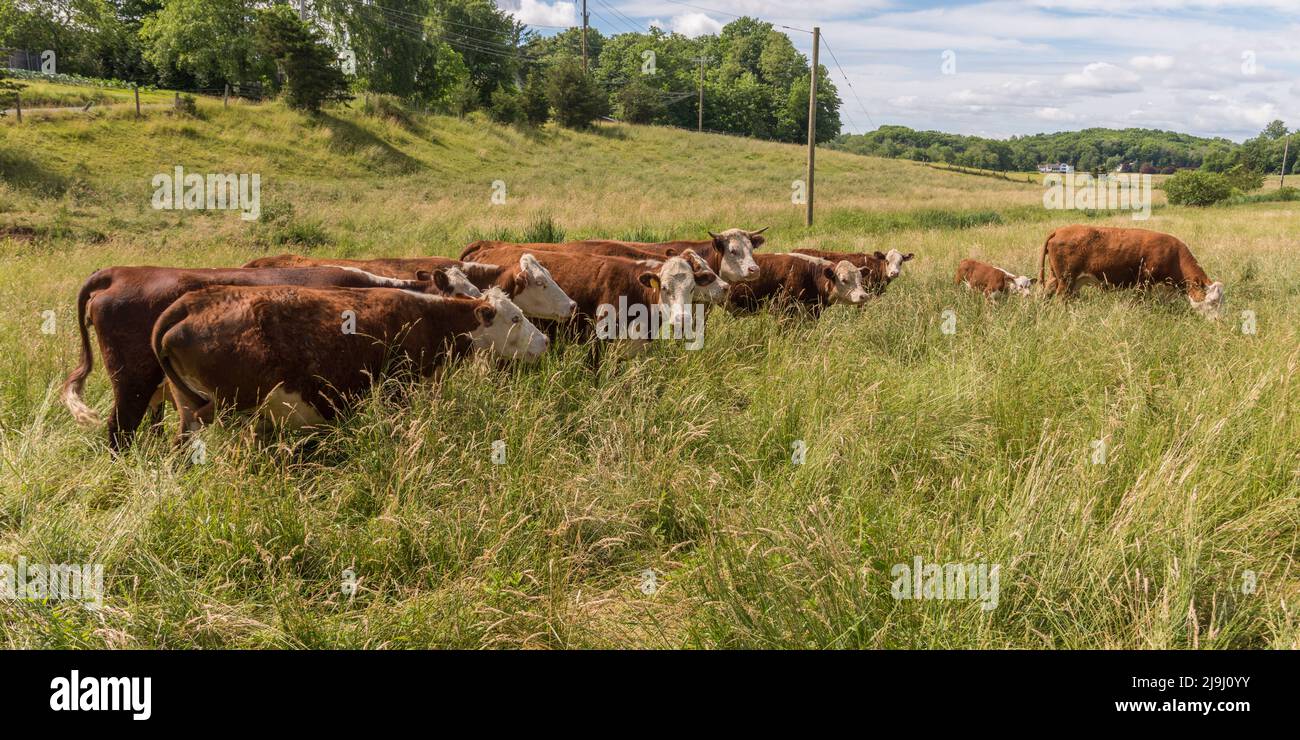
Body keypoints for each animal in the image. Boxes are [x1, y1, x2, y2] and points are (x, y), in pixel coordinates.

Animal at [153, 286, 546, 441]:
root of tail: (194, 302)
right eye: (515, 318)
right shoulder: (396, 391)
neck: (430, 319)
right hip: (224, 406)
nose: (543, 341)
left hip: (188, 407)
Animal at [1037, 225, 1224, 318]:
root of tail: (1060, 230)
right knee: (1060, 299)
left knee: (1046, 295)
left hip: (1055, 278)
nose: (1217, 321)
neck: (1175, 256)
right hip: (1066, 280)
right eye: (1212, 302)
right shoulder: (1144, 283)